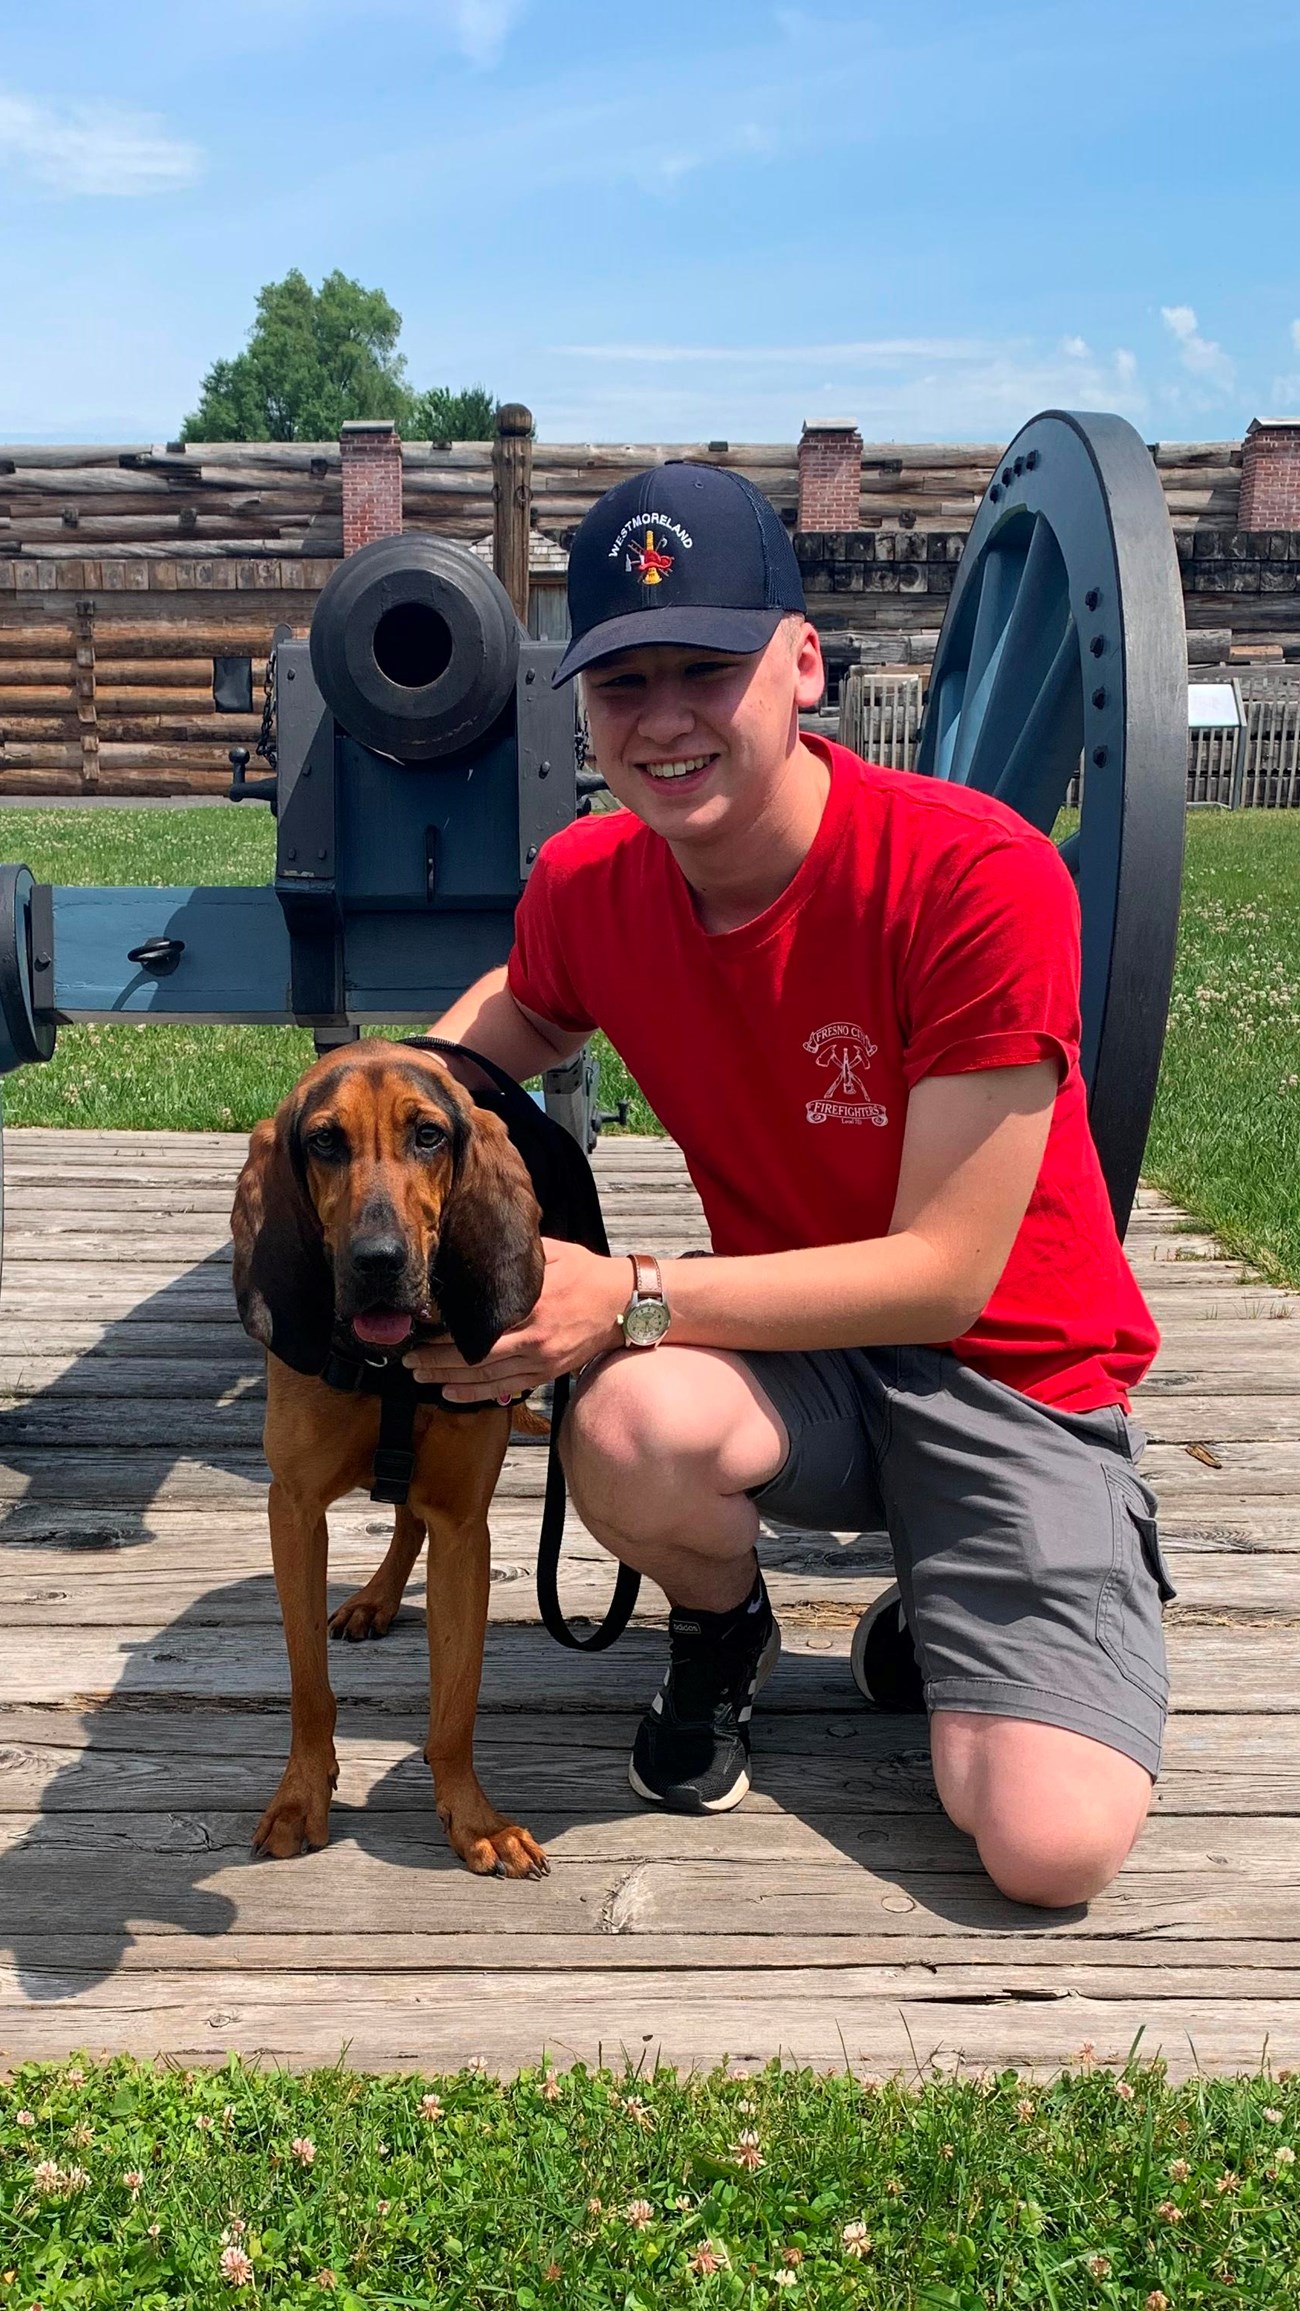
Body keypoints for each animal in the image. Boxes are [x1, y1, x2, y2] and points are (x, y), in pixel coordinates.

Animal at [234, 1049, 549, 1876]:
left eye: (428, 1135)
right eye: (323, 1141)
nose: (378, 1262)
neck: (391, 1364)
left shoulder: (466, 1528)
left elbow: (455, 1703)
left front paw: (475, 1820)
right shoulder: (294, 1511)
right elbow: (309, 1688)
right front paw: (300, 1798)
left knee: (410, 1514)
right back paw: (373, 1598)